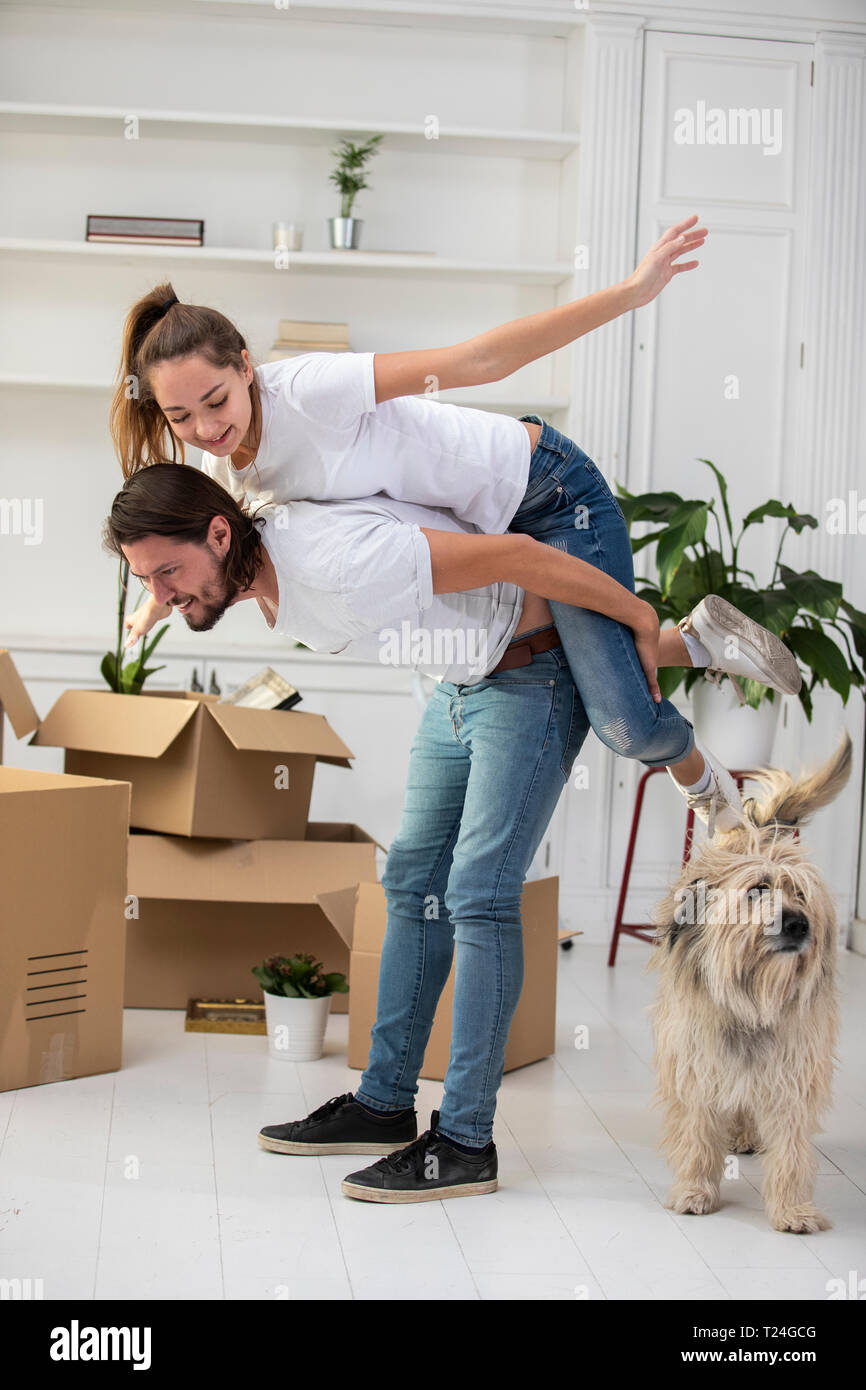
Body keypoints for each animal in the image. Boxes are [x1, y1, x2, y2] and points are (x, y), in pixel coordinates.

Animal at [650, 733, 856, 1234]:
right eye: (758, 888)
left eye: (801, 893)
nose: (798, 924)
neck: (753, 997)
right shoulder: (697, 1062)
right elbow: (697, 1133)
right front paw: (695, 1191)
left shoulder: (793, 1070)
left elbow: (791, 1148)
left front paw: (793, 1209)